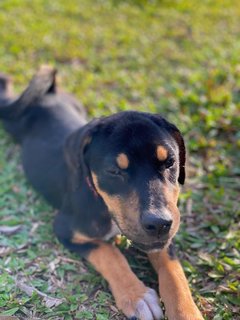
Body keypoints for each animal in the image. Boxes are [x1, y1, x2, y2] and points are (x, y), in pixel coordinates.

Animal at [0, 67, 203, 320]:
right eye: (114, 171)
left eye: (170, 162)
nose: (158, 223)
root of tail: (48, 93)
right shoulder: (67, 230)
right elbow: (109, 254)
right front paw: (137, 296)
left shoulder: (166, 235)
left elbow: (174, 271)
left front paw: (187, 311)